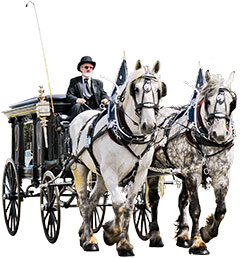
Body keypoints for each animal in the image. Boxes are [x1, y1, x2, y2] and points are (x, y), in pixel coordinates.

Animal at [69, 60, 167, 256]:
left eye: (160, 89)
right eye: (135, 89)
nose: (148, 125)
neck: (130, 135)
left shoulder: (140, 173)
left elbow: (128, 207)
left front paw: (123, 241)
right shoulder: (111, 173)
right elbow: (118, 204)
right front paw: (114, 235)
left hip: (100, 175)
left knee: (91, 202)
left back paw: (87, 236)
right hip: (80, 168)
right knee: (83, 202)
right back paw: (89, 240)